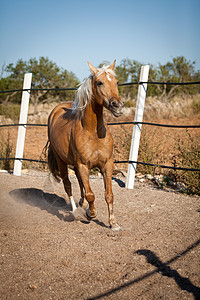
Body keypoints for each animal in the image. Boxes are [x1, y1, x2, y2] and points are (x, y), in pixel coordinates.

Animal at [47, 60, 123, 230]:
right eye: (99, 82)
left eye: (116, 82)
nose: (117, 106)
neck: (92, 132)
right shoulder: (83, 165)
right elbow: (90, 194)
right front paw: (91, 213)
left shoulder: (107, 164)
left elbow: (109, 194)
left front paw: (113, 223)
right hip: (62, 161)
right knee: (68, 185)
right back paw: (76, 211)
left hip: (75, 165)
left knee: (80, 184)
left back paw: (81, 205)